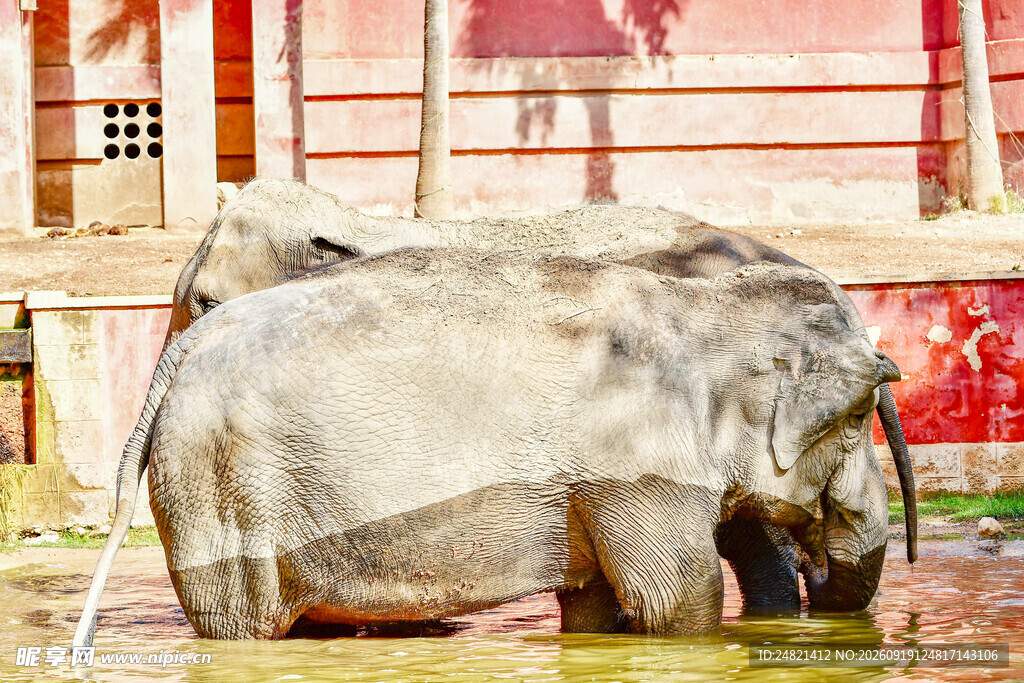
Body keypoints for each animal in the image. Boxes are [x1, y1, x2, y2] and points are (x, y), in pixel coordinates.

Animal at [75, 253, 902, 642]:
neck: (702, 303)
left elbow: (594, 605)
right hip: (218, 483)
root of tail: (177, 352)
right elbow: (676, 598)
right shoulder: (637, 465)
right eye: (857, 416)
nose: (817, 566)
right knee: (241, 622)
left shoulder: (590, 483)